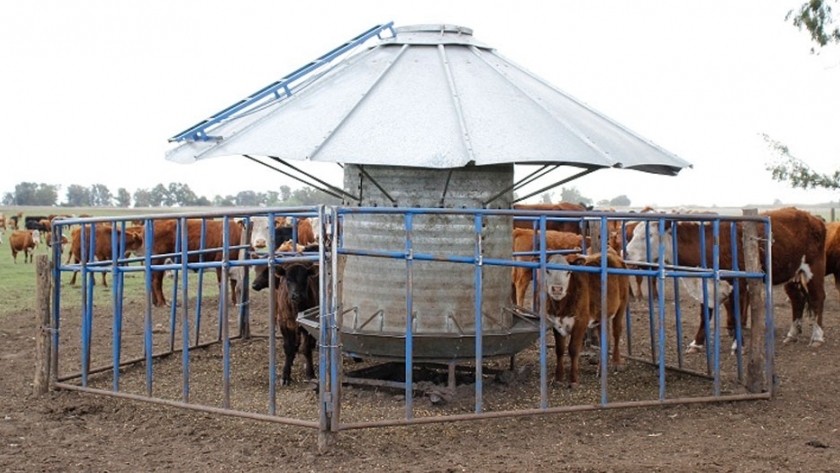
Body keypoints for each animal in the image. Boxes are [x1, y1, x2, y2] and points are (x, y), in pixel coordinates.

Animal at [544, 251, 632, 388]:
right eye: (547, 270)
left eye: (568, 272)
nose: (557, 289)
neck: (562, 307)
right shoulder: (555, 322)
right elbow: (559, 350)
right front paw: (558, 378)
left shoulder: (581, 322)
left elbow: (573, 349)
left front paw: (573, 380)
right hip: (601, 316)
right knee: (605, 340)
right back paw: (601, 370)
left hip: (622, 305)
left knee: (617, 332)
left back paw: (617, 362)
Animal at [624, 207, 828, 350]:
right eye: (633, 233)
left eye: (648, 235)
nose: (625, 253)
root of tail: (814, 218)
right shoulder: (706, 284)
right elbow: (705, 314)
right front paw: (697, 343)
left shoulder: (739, 285)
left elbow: (736, 314)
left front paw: (738, 345)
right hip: (793, 274)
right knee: (797, 300)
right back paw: (792, 334)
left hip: (814, 267)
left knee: (818, 298)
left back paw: (817, 337)